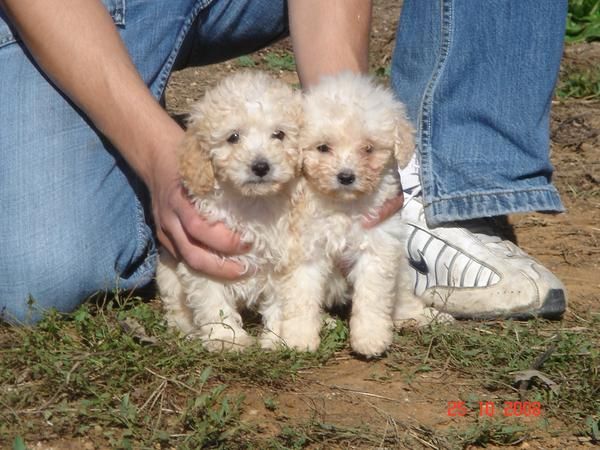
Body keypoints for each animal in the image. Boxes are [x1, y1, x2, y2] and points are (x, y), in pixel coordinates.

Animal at [157, 70, 302, 352]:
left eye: (279, 134)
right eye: (233, 137)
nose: (261, 166)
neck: (251, 202)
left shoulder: (283, 259)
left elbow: (281, 303)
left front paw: (278, 338)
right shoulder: (205, 258)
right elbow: (214, 303)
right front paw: (226, 339)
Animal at [278, 72, 452, 356]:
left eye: (368, 148)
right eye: (323, 148)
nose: (346, 176)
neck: (344, 206)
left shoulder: (377, 248)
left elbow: (372, 296)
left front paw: (370, 337)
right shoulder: (306, 251)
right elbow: (301, 296)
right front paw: (298, 338)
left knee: (403, 298)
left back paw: (420, 317)